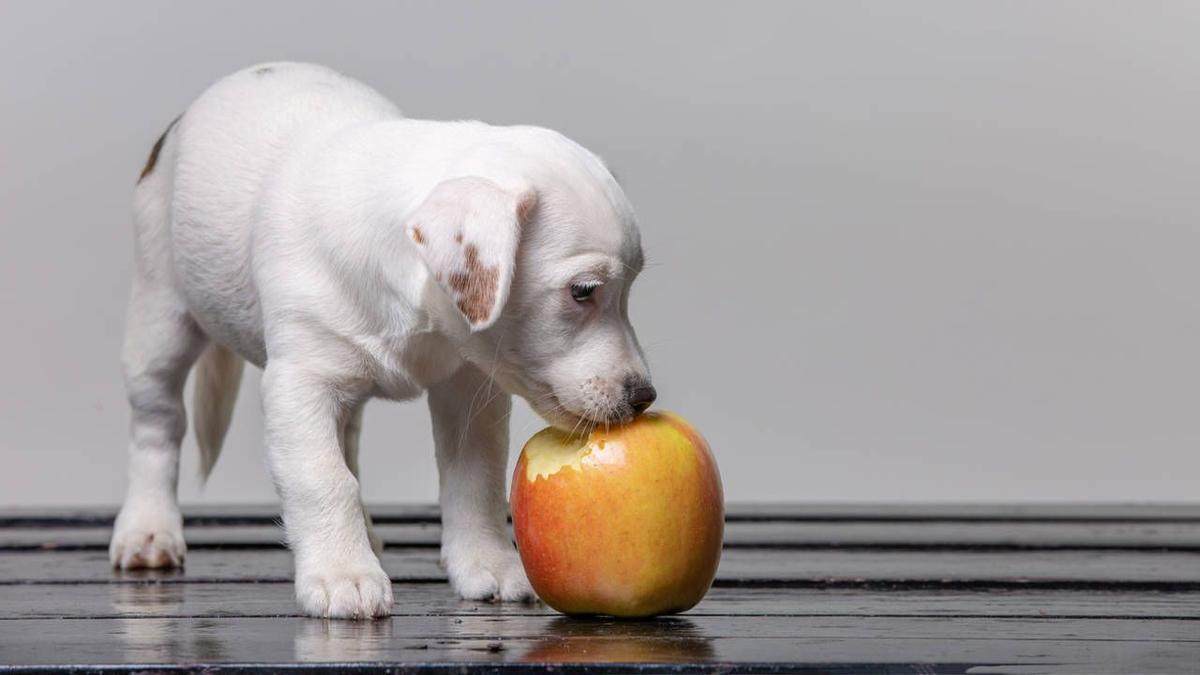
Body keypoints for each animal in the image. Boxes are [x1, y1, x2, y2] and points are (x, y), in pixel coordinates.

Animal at [110, 61, 657, 614]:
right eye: (583, 291)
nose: (644, 397)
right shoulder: (299, 386)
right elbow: (322, 478)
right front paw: (342, 573)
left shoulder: (468, 389)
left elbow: (475, 478)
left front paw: (488, 562)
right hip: (160, 322)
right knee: (157, 427)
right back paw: (148, 531)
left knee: (347, 439)